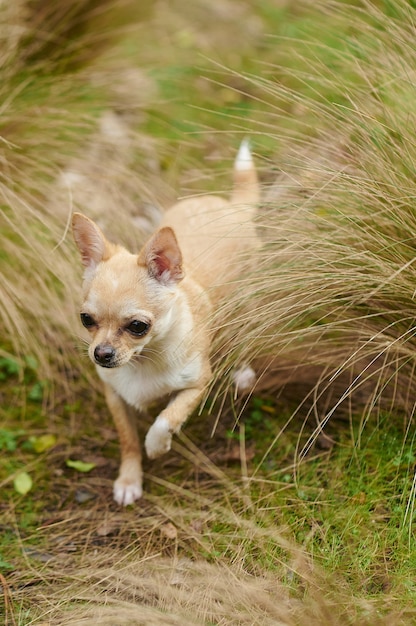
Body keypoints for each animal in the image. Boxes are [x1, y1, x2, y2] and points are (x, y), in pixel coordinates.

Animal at [73, 141, 258, 502]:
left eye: (137, 326)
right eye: (86, 319)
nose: (101, 354)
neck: (143, 360)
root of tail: (230, 205)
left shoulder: (197, 385)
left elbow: (165, 418)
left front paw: (157, 446)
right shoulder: (115, 395)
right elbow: (128, 439)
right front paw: (129, 480)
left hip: (246, 302)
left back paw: (243, 372)